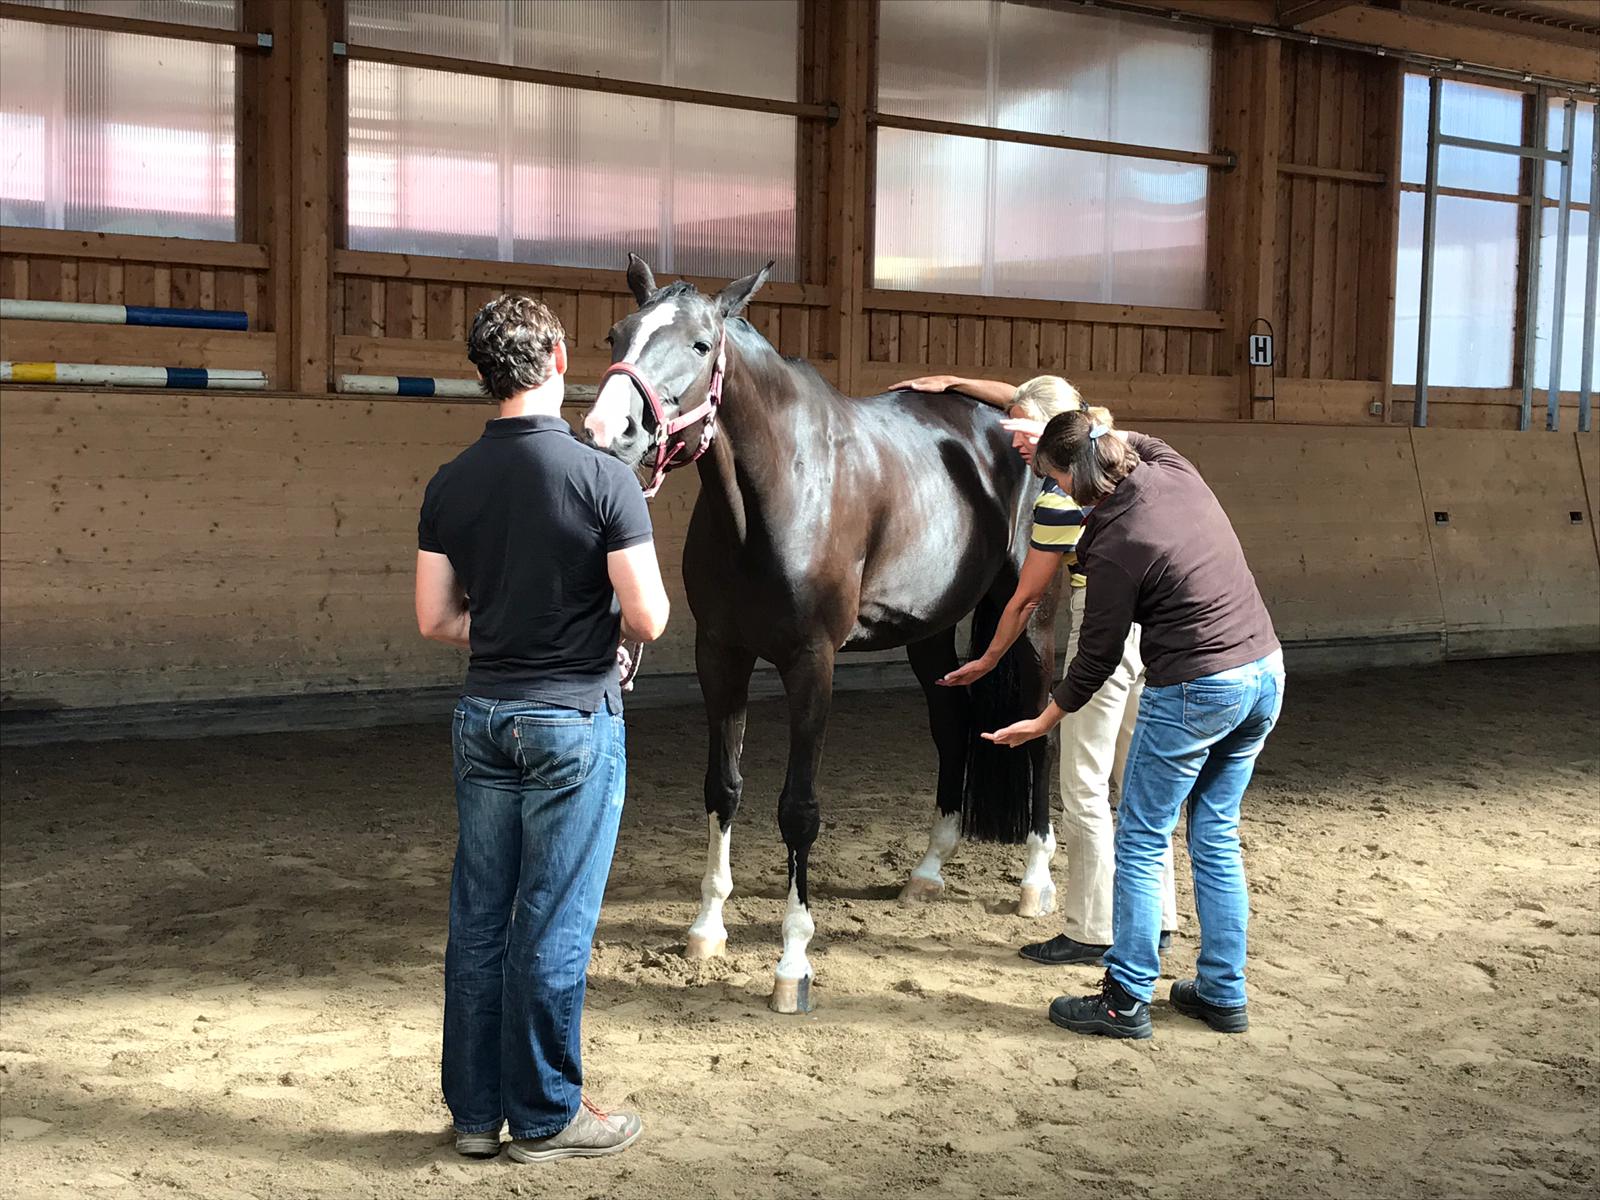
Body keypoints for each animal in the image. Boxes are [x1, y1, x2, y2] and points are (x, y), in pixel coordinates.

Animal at [584, 255, 1061, 1013]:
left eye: (700, 345)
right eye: (616, 335)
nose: (608, 429)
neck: (780, 489)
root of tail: (1020, 423)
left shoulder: (812, 663)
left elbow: (797, 809)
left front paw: (792, 962)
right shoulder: (721, 655)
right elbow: (723, 787)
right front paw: (707, 928)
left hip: (1034, 621)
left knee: (1039, 730)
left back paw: (1036, 881)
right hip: (930, 634)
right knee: (953, 722)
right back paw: (929, 868)